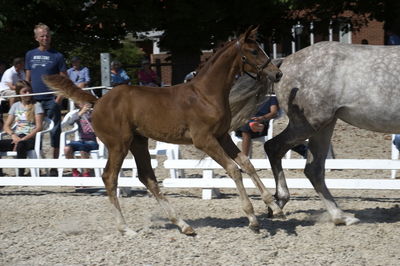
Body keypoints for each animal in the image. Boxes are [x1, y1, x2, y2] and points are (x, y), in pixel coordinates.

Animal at [262, 41, 400, 224]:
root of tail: (284, 62)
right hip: (309, 125)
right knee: (273, 147)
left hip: (323, 126)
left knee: (313, 169)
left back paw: (338, 216)